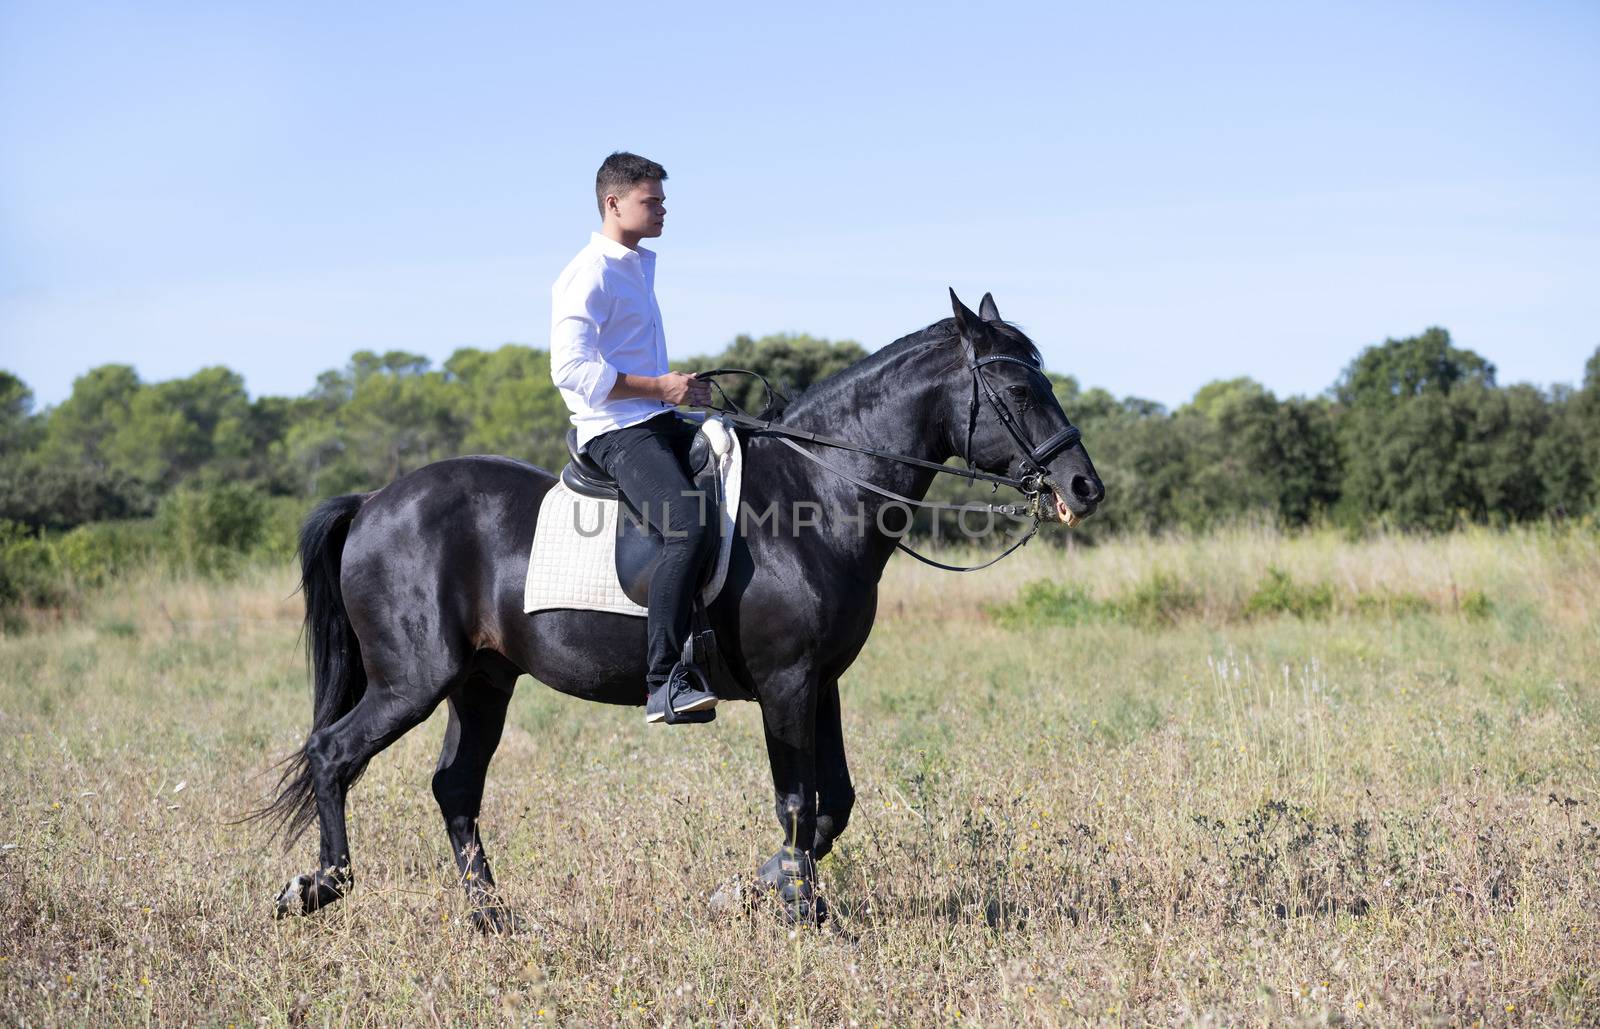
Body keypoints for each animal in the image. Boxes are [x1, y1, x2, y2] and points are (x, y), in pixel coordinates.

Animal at [265, 289, 1100, 928]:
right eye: (1019, 391)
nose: (1084, 487)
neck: (818, 491)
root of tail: (376, 499)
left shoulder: (821, 680)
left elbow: (833, 804)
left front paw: (757, 890)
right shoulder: (786, 681)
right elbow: (797, 802)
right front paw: (799, 912)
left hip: (482, 680)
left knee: (455, 787)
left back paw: (491, 917)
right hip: (414, 678)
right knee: (334, 753)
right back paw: (317, 887)